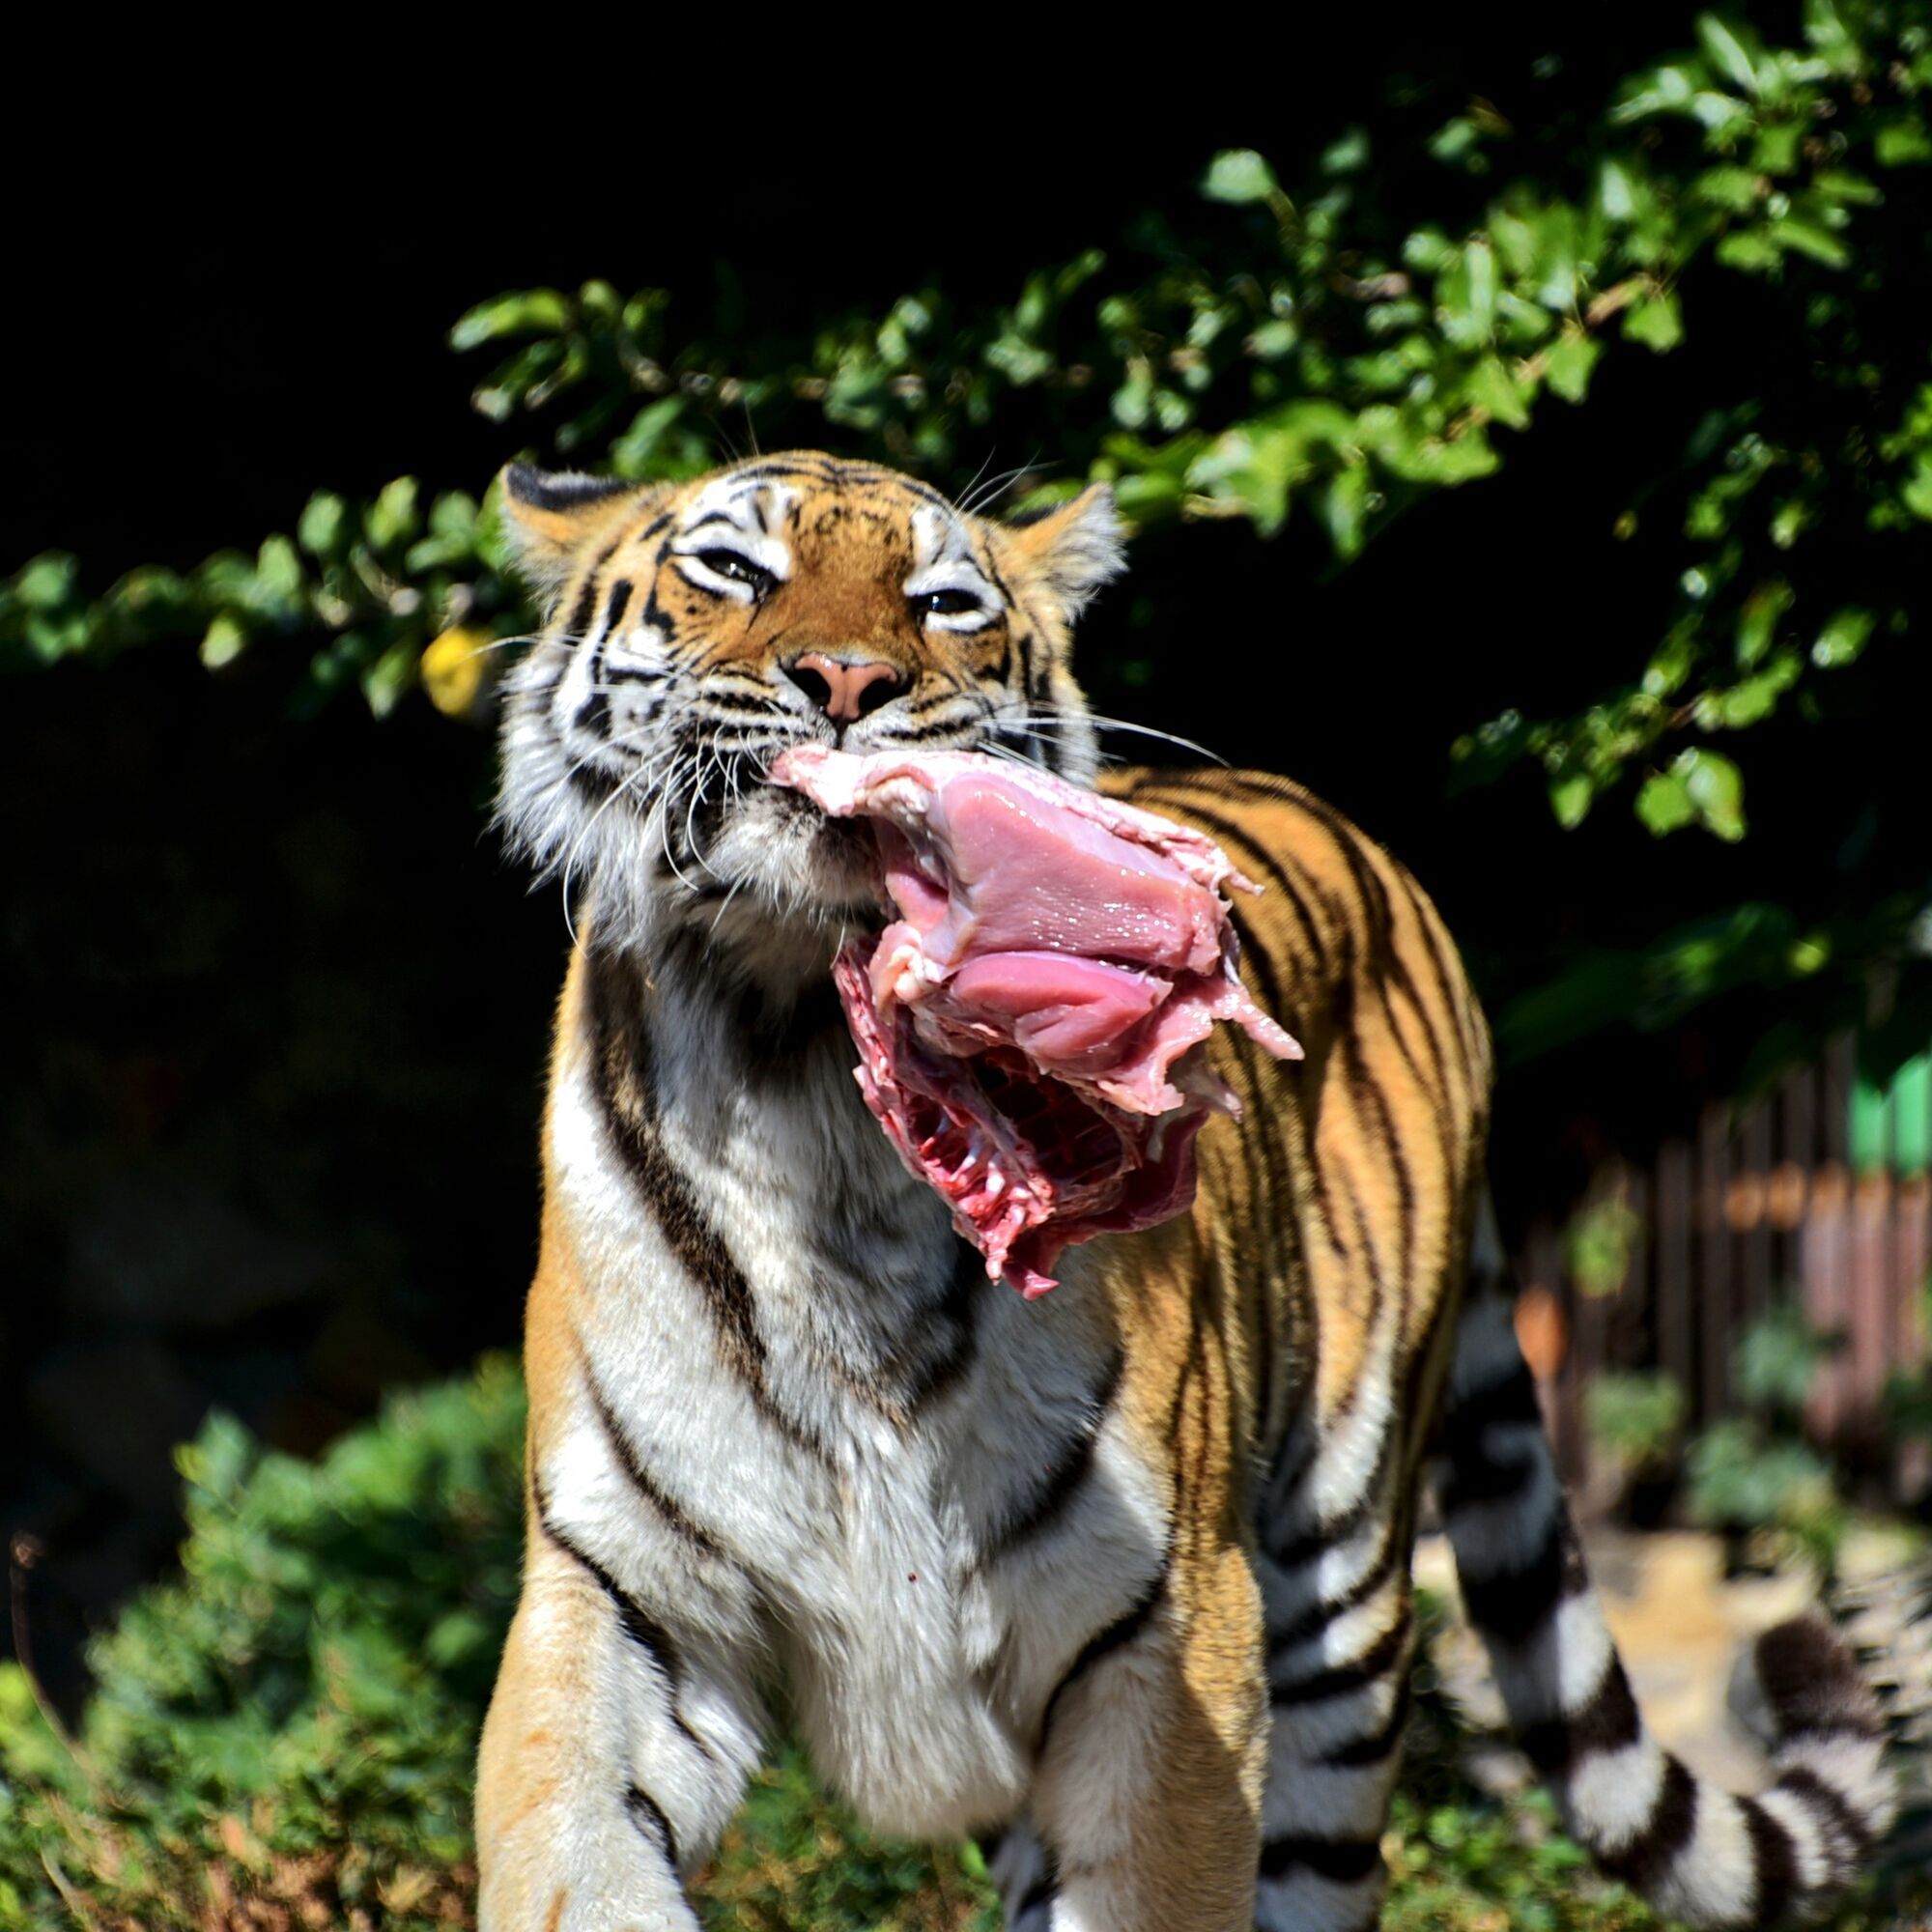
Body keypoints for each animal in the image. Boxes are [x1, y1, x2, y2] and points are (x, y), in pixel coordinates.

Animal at [475, 452, 1893, 1932]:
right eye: (733, 571)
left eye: (944, 601)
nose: (848, 679)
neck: (805, 1069)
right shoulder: (619, 1593)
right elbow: (578, 1855)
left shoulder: (1163, 1631)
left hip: (1340, 1590)